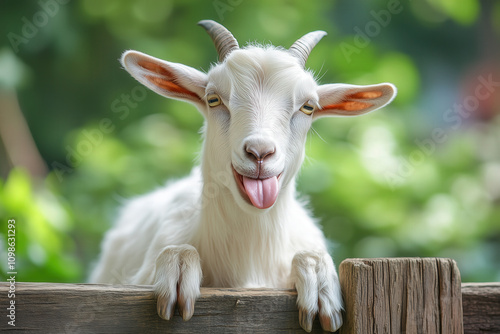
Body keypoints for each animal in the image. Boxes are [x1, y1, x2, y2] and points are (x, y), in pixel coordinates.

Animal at [90, 20, 394, 332]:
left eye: (308, 106)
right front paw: (177, 269)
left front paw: (319, 285)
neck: (247, 260)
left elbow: (309, 256)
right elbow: (176, 255)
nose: (259, 152)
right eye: (213, 99)